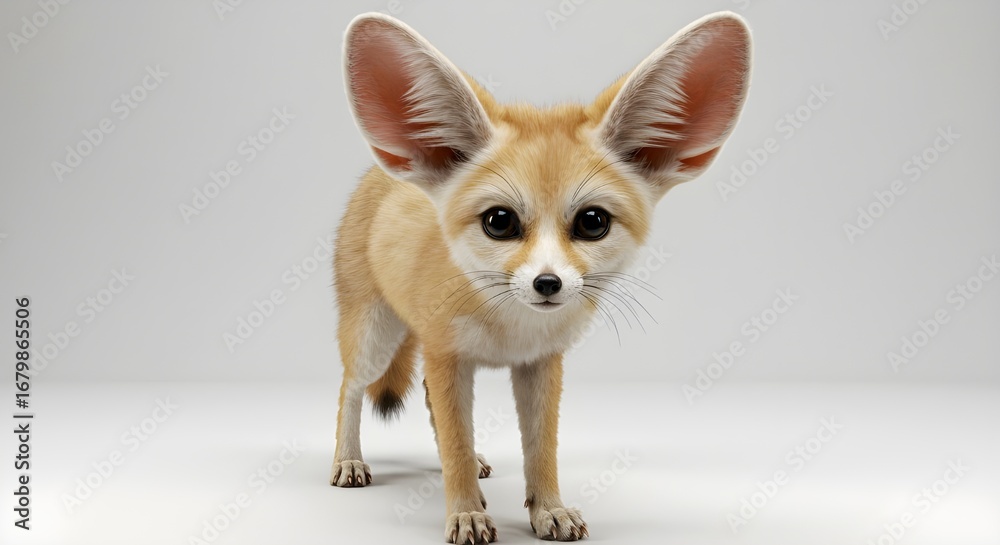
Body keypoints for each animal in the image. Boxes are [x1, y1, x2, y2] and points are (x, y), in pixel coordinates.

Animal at [330, 11, 751, 544]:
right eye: (499, 221)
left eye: (592, 222)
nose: (547, 284)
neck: (511, 331)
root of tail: (380, 172)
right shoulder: (446, 356)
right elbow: (455, 441)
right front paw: (465, 512)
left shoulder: (542, 363)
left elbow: (539, 448)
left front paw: (548, 508)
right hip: (375, 340)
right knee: (350, 388)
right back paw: (349, 460)